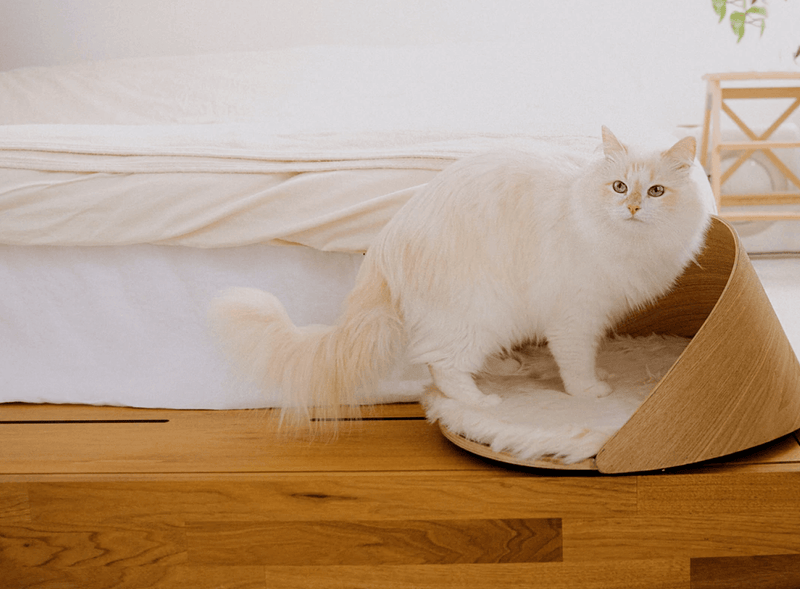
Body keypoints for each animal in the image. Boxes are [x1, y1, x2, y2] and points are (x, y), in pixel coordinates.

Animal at [208, 129, 712, 422]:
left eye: (656, 191)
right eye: (620, 186)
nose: (633, 207)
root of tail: (384, 244)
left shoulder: (590, 315)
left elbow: (584, 355)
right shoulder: (576, 316)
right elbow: (575, 362)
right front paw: (589, 392)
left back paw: (507, 367)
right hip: (476, 314)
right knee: (443, 367)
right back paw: (481, 400)